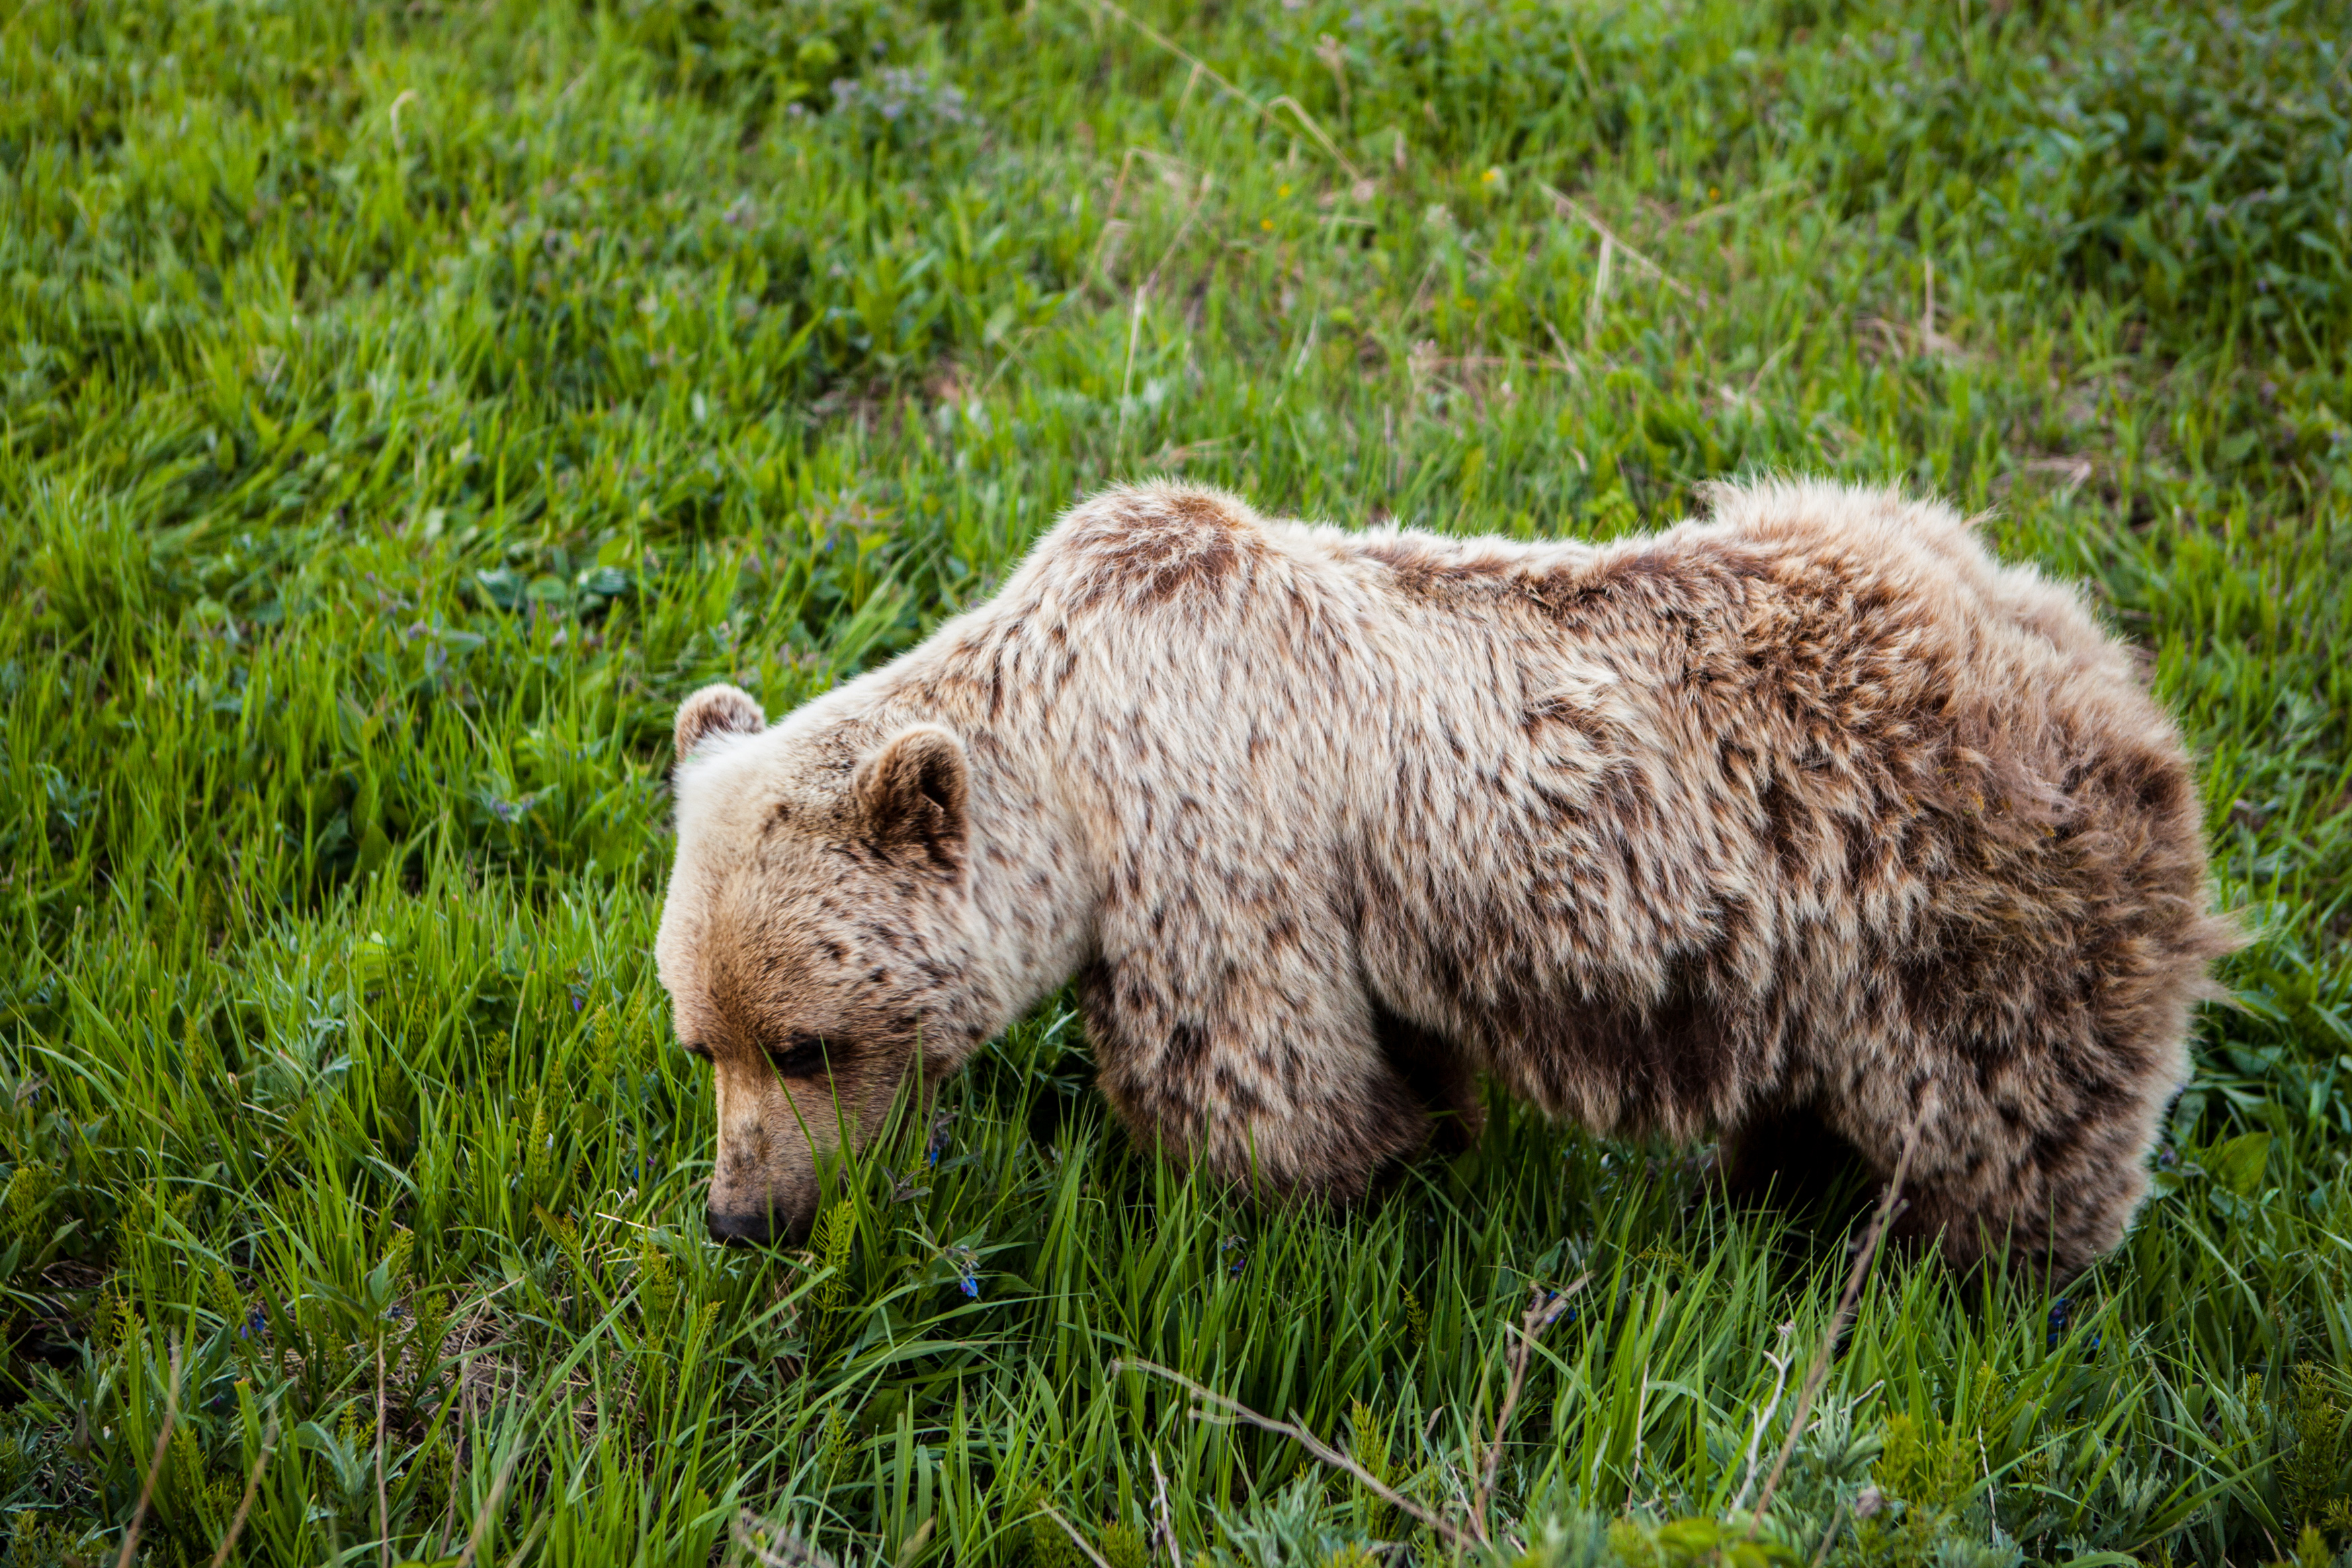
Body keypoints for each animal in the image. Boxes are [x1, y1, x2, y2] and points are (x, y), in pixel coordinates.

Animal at [654, 482, 2230, 1288]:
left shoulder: (1219, 844)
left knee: (2001, 1122)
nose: (741, 1217)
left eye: (807, 1043)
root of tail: (2115, 680)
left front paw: (1303, 1211)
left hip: (1960, 919)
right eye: (699, 1041)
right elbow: (1398, 1054)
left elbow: (1264, 1082)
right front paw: (1429, 1146)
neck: (1074, 756)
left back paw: (1962, 1281)